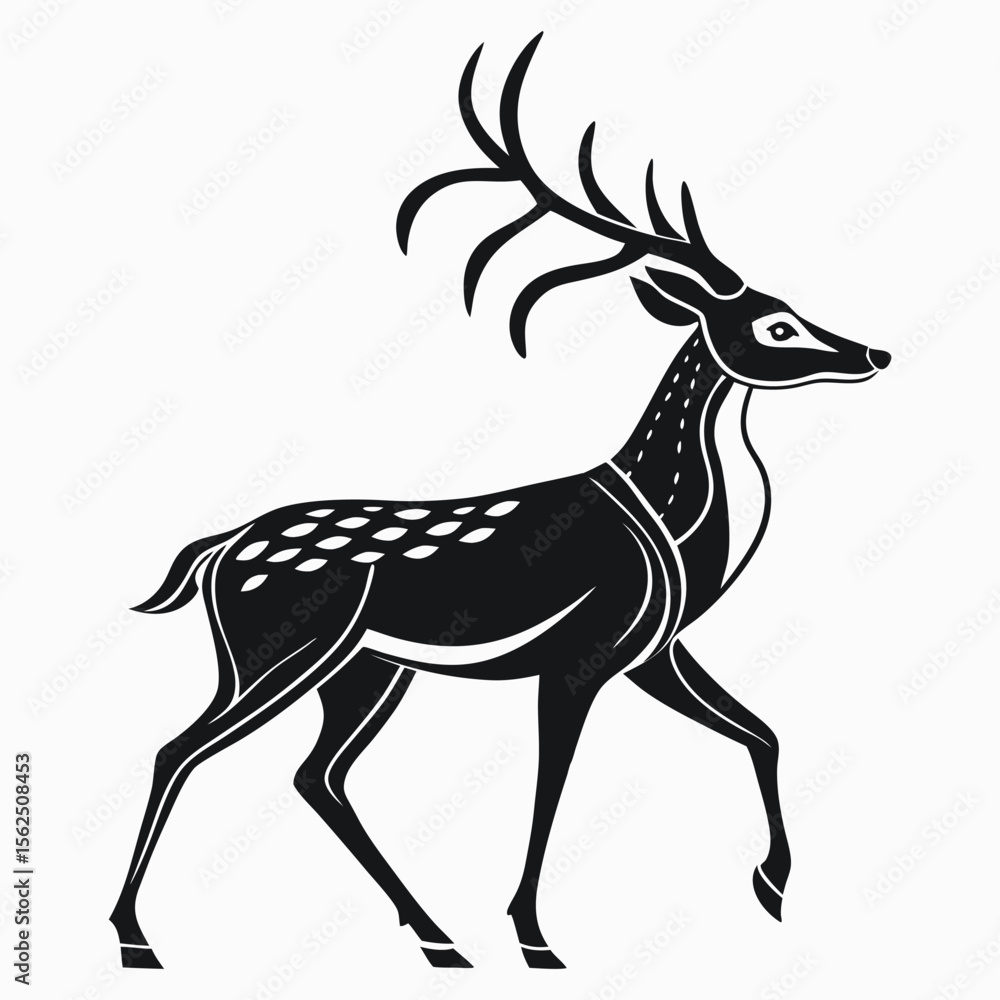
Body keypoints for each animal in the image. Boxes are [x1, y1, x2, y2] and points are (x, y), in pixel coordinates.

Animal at [110, 32, 890, 971]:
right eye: (776, 325)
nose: (874, 353)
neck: (677, 528)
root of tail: (219, 551)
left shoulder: (653, 653)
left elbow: (764, 731)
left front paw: (772, 887)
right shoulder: (581, 654)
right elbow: (552, 784)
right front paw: (534, 936)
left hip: (364, 668)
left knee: (316, 774)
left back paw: (437, 937)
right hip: (279, 647)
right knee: (179, 748)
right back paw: (135, 937)